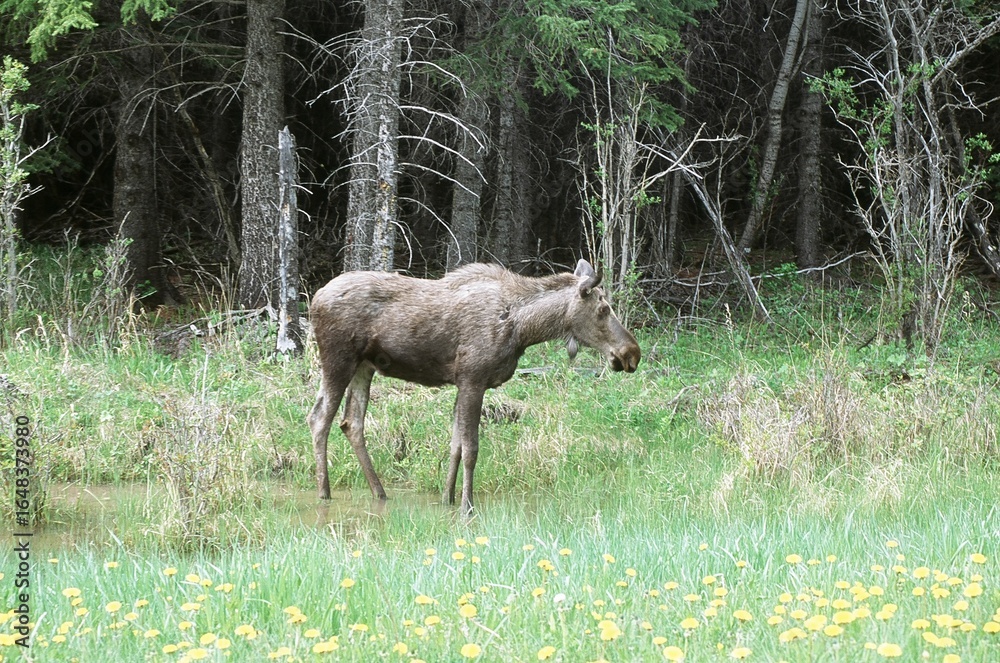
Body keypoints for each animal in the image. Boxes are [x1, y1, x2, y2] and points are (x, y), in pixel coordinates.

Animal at [307, 259, 641, 516]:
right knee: (319, 418)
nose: (632, 353)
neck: (523, 329)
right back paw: (324, 493)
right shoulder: (473, 379)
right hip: (338, 359)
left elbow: (454, 445)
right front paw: (467, 505)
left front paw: (448, 498)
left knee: (351, 422)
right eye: (603, 309)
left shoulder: (462, 383)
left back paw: (379, 492)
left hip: (365, 366)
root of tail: (314, 298)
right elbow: (471, 449)